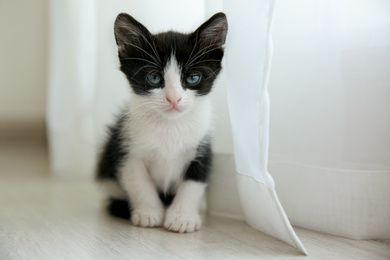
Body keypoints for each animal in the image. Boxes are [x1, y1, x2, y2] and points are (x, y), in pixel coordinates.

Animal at [95, 11, 227, 234]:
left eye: (193, 78)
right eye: (154, 78)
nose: (174, 99)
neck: (170, 125)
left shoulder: (202, 147)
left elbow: (193, 182)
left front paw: (182, 217)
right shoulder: (127, 148)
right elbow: (138, 181)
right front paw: (149, 213)